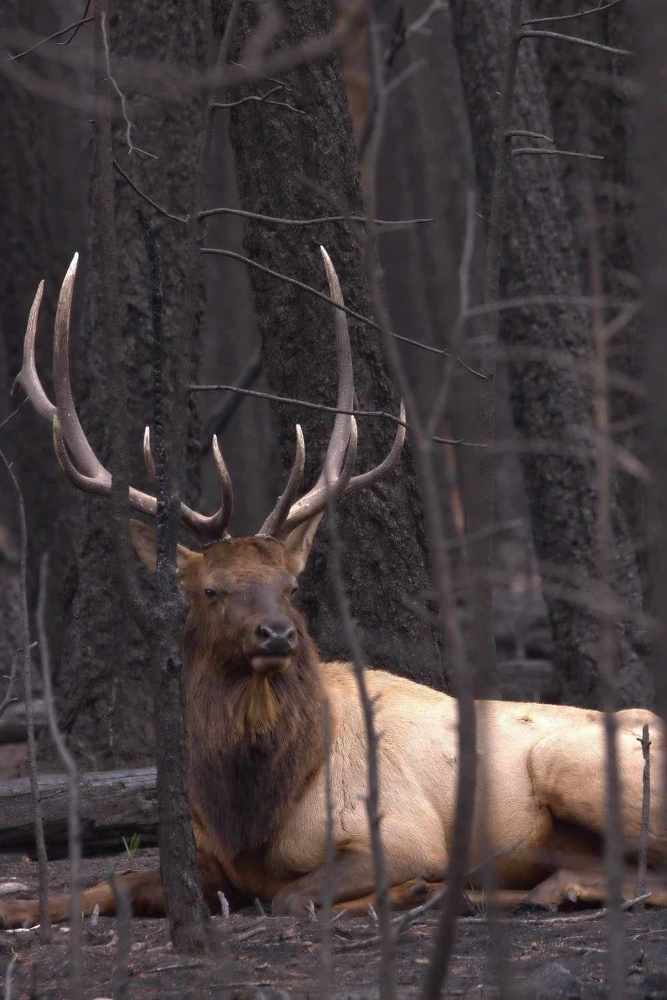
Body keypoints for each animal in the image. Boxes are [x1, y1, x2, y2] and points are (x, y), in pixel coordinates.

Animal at [1, 246, 666, 930]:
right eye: (211, 590)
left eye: (291, 585)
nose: (276, 634)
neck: (252, 814)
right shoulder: (208, 859)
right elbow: (108, 887)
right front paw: (19, 904)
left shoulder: (402, 831)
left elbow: (294, 895)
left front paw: (409, 889)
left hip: (574, 768)